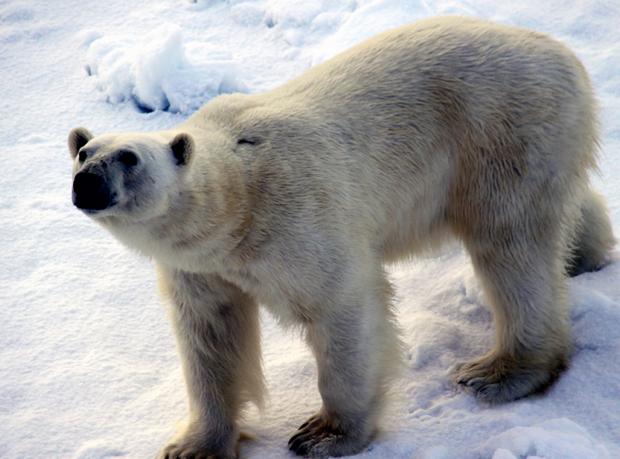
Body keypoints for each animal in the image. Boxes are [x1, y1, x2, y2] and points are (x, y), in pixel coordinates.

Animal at [69, 16, 616, 458]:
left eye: (129, 158)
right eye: (83, 151)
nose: (87, 182)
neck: (239, 199)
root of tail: (563, 54)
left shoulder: (297, 220)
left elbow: (343, 309)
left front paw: (325, 434)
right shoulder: (201, 268)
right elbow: (211, 336)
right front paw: (193, 446)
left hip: (501, 131)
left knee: (511, 245)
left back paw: (500, 371)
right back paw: (585, 256)